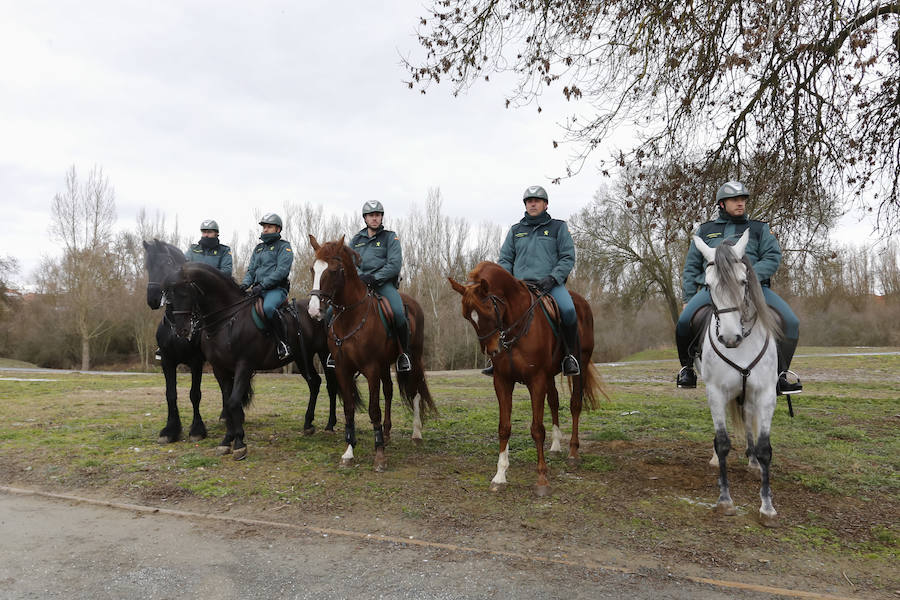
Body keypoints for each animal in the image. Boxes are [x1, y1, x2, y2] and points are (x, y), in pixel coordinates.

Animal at [143, 238, 208, 440]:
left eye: (167, 263)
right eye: (147, 266)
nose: (153, 299)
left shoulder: (196, 361)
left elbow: (195, 394)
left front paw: (197, 429)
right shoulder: (167, 361)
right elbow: (170, 394)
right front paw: (171, 429)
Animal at [165, 262, 338, 460]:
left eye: (185, 293)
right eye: (169, 295)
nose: (181, 330)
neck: (227, 319)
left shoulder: (244, 366)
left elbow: (233, 402)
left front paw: (239, 443)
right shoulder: (220, 369)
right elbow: (227, 403)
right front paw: (227, 441)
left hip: (324, 355)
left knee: (331, 387)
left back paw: (330, 425)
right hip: (303, 357)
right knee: (314, 383)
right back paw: (308, 424)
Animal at [308, 237, 438, 472]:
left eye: (333, 270)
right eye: (313, 269)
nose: (314, 311)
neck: (351, 316)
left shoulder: (371, 369)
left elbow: (373, 409)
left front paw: (379, 456)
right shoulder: (343, 370)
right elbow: (349, 409)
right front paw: (349, 452)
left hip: (413, 359)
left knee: (415, 391)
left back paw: (416, 433)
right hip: (385, 366)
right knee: (389, 391)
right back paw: (386, 433)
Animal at [450, 262, 604, 496]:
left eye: (488, 311)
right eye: (468, 317)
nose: (493, 350)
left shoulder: (536, 380)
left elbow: (537, 429)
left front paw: (542, 479)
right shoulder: (502, 381)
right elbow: (504, 427)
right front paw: (499, 476)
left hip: (581, 365)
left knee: (575, 405)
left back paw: (573, 452)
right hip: (550, 375)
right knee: (554, 401)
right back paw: (556, 445)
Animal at [692, 230, 784, 524]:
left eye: (744, 281)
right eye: (708, 285)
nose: (730, 337)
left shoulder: (766, 393)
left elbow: (765, 448)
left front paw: (767, 507)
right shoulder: (715, 392)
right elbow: (722, 442)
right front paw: (725, 500)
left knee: (748, 417)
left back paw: (753, 462)